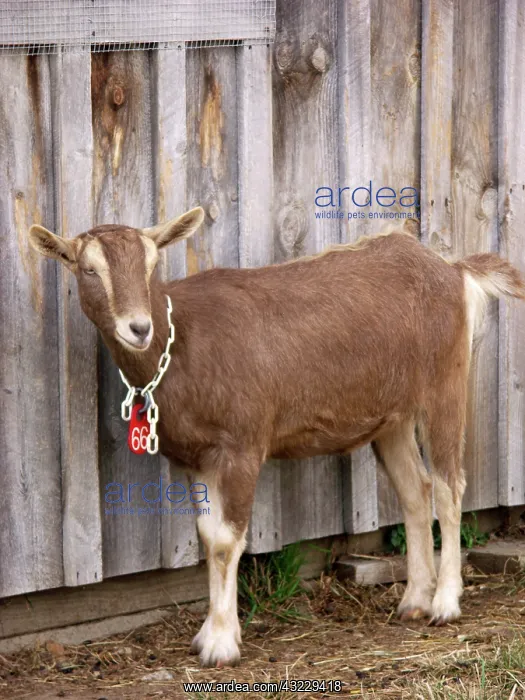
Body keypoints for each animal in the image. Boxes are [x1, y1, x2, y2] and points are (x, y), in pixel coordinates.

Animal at [29, 210, 525, 667]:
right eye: (88, 269)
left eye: (152, 265)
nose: (139, 328)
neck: (182, 342)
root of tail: (453, 270)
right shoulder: (196, 458)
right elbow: (208, 537)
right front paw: (210, 633)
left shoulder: (243, 445)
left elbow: (227, 541)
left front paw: (221, 644)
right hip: (393, 415)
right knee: (415, 492)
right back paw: (415, 602)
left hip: (444, 381)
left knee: (448, 487)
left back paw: (445, 603)